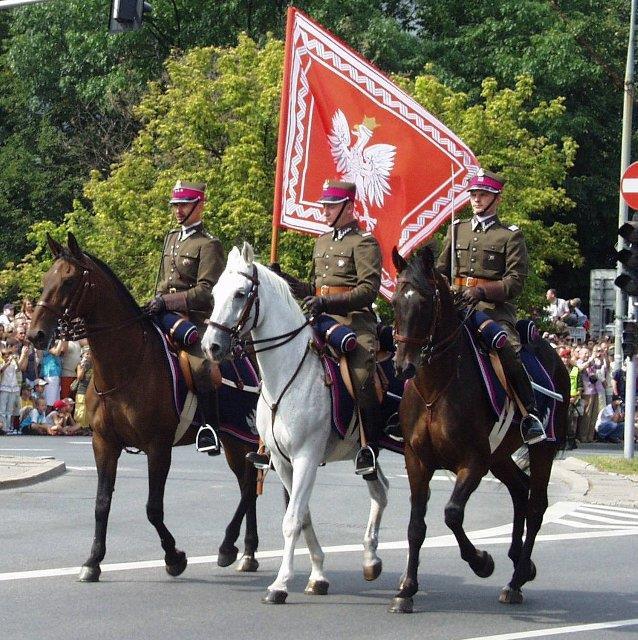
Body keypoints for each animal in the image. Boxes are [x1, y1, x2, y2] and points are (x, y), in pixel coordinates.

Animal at [26, 234, 262, 580]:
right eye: (45, 280)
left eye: (69, 281)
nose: (35, 335)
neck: (126, 366)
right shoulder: (104, 443)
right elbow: (101, 503)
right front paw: (93, 561)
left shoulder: (158, 446)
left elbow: (153, 508)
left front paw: (174, 556)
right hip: (238, 441)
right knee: (250, 484)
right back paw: (247, 552)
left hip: (242, 437)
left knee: (250, 486)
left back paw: (229, 547)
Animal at [202, 242, 390, 604]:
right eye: (215, 293)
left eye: (241, 293)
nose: (211, 346)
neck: (287, 375)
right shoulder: (280, 459)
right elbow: (301, 516)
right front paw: (317, 576)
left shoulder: (306, 457)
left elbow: (291, 520)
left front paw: (279, 585)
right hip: (368, 457)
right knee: (381, 491)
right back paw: (371, 559)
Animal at [390, 248, 568, 612]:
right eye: (395, 302)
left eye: (425, 302)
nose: (403, 367)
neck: (435, 388)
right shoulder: (417, 461)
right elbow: (416, 525)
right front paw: (407, 589)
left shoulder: (472, 461)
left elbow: (452, 514)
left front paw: (481, 561)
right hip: (499, 456)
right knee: (520, 490)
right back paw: (520, 562)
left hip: (541, 449)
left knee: (536, 504)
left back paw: (516, 580)